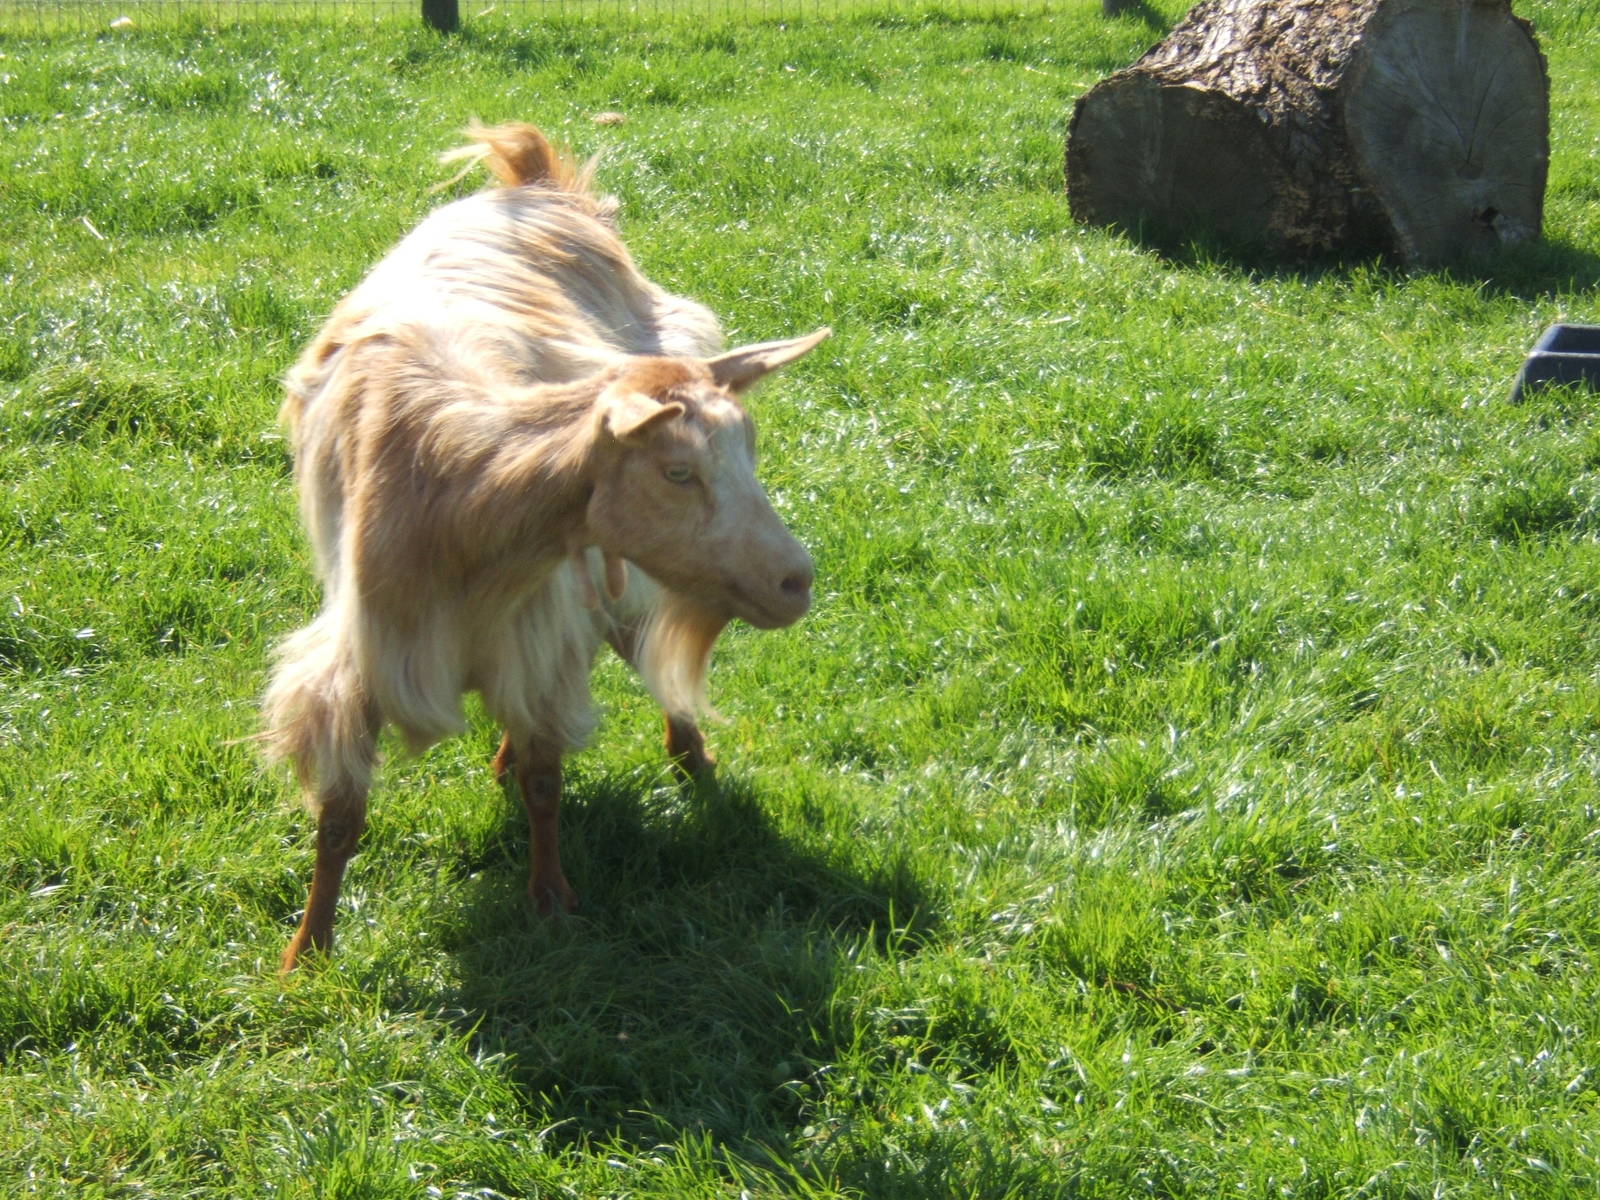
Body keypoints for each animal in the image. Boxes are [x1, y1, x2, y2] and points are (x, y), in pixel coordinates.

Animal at [262, 122, 828, 974]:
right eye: (677, 470)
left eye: (749, 451)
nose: (796, 579)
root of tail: (537, 182)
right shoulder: (362, 656)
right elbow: (337, 816)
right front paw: (308, 952)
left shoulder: (541, 628)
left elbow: (544, 780)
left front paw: (552, 900)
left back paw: (692, 759)